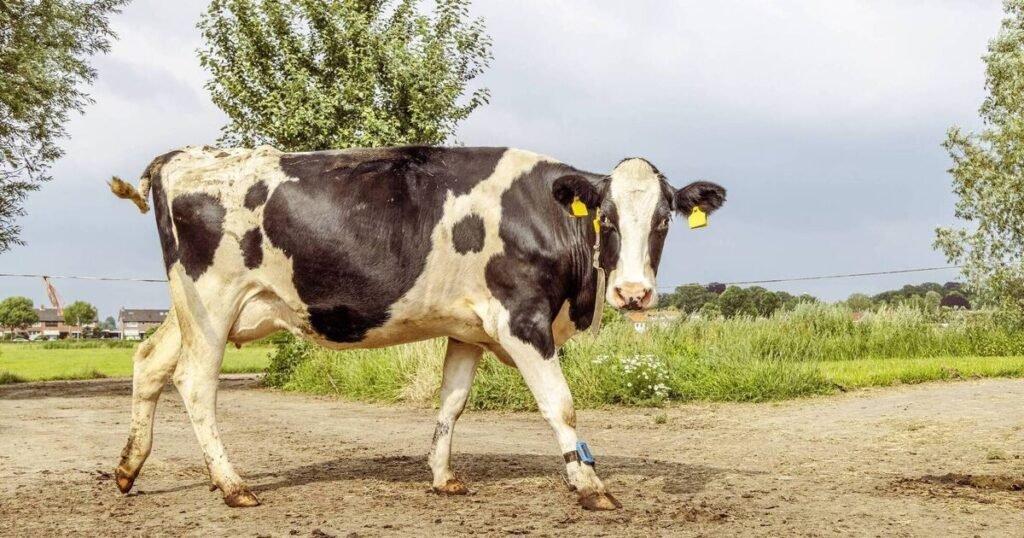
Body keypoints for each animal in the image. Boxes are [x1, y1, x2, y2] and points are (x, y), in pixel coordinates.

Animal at [108, 145, 726, 510]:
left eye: (663, 221)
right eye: (608, 219)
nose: (634, 292)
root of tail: (182, 155)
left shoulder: (469, 330)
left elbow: (451, 403)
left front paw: (442, 476)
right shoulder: (521, 319)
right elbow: (561, 405)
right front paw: (590, 485)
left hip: (190, 310)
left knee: (149, 362)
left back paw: (128, 469)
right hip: (212, 302)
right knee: (194, 383)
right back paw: (233, 486)